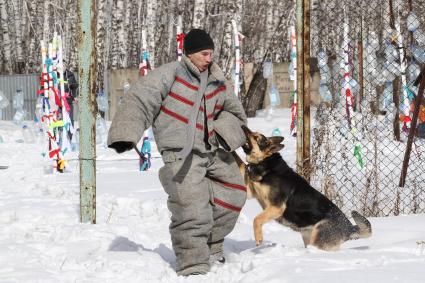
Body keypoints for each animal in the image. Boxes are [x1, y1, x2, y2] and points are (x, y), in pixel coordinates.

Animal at [232, 125, 372, 252]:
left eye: (256, 137)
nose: (242, 126)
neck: (265, 163)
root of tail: (349, 227)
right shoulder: (250, 192)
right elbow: (241, 164)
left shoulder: (276, 207)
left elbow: (256, 219)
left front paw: (259, 238)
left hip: (318, 239)